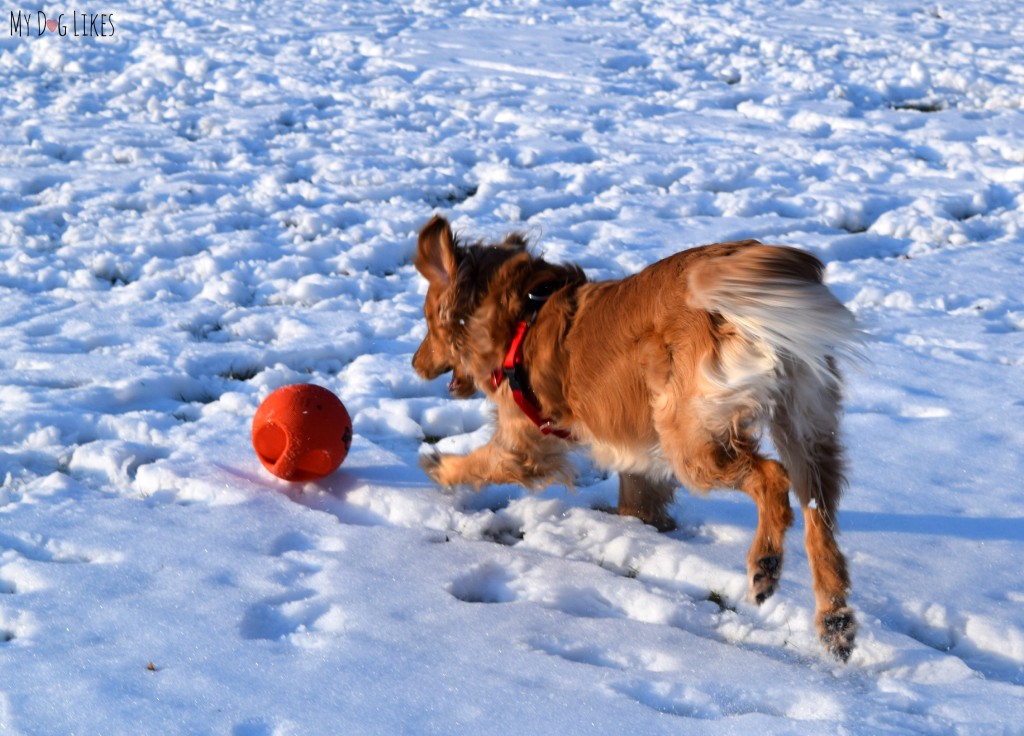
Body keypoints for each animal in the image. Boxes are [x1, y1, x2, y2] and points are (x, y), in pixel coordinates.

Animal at [411, 212, 860, 663]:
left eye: (428, 322)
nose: (414, 362)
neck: (524, 315)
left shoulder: (525, 442)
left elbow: (480, 462)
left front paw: (439, 467)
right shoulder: (639, 457)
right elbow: (638, 501)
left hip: (691, 441)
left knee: (772, 478)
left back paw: (765, 562)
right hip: (804, 427)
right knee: (818, 522)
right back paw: (834, 621)